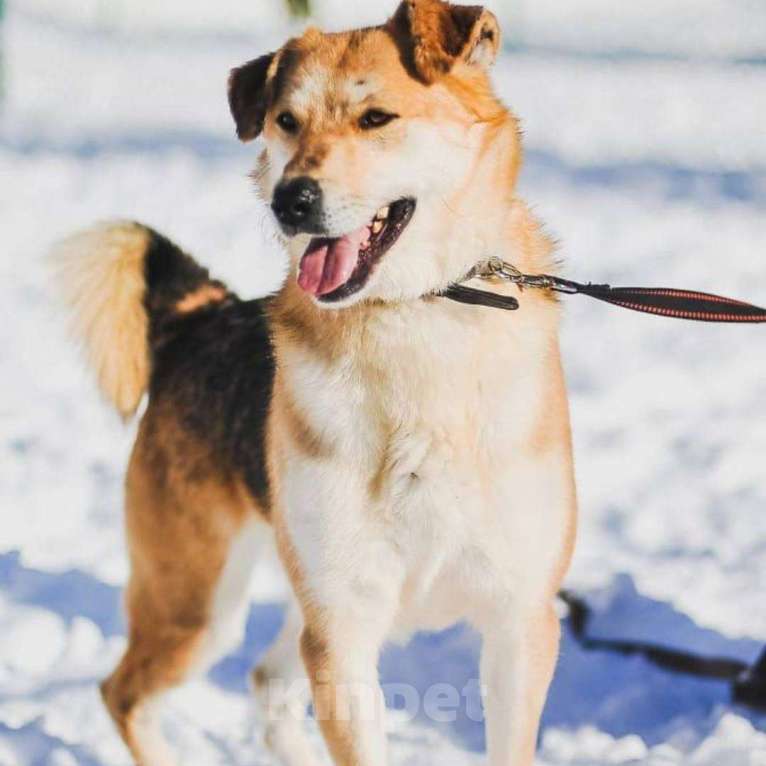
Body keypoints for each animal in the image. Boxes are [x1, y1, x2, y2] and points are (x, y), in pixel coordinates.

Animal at [54, 3, 576, 764]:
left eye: (376, 117)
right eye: (286, 121)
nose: (290, 201)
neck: (411, 317)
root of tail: (201, 316)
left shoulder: (519, 623)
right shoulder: (341, 630)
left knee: (266, 681)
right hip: (198, 603)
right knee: (124, 693)